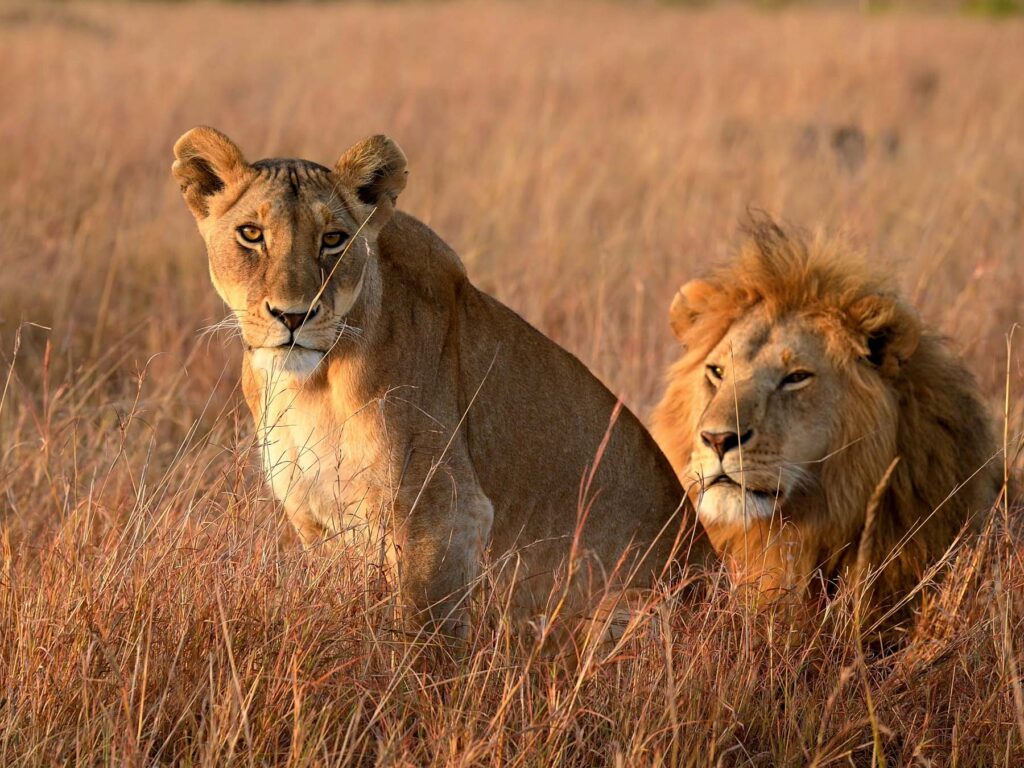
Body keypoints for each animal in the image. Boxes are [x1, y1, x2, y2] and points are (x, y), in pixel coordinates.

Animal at [172, 126, 711, 639]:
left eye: (333, 239)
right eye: (251, 233)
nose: (293, 316)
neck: (309, 387)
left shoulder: (444, 510)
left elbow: (423, 636)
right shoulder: (316, 521)